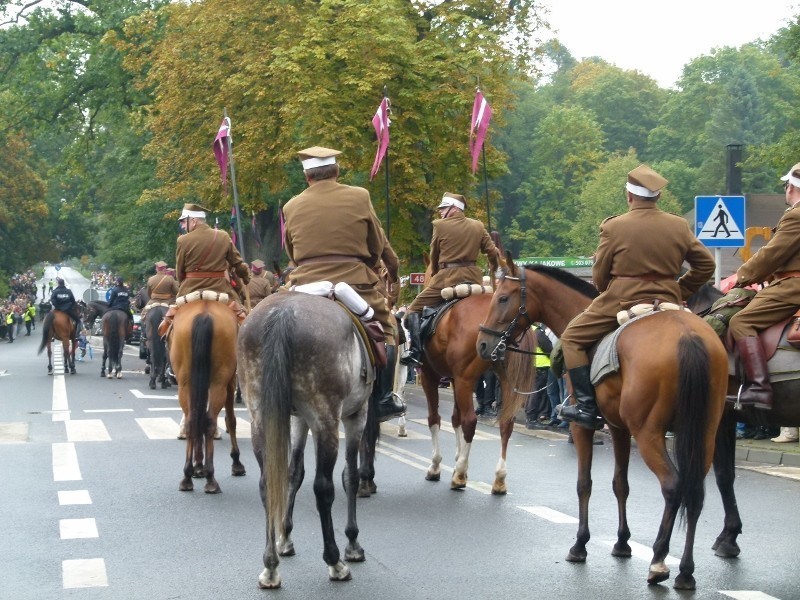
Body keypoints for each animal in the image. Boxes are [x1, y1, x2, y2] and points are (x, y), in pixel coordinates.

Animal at [169, 298, 244, 492]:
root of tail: (204, 313)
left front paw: (198, 467)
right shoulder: (231, 381)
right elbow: (231, 420)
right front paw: (236, 462)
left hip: (186, 383)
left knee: (193, 420)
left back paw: (187, 477)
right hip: (219, 381)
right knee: (209, 420)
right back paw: (211, 478)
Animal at [238, 292, 376, 588]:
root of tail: (282, 313)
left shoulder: (297, 418)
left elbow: (293, 473)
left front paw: (285, 538)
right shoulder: (356, 415)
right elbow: (350, 476)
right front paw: (352, 543)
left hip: (261, 419)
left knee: (267, 484)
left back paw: (270, 566)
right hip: (326, 422)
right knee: (323, 488)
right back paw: (335, 562)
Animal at [476, 258, 732, 592]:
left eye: (502, 298)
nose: (482, 344)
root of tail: (687, 335)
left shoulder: (582, 426)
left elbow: (584, 483)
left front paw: (580, 545)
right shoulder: (619, 427)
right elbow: (620, 484)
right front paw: (622, 543)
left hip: (649, 434)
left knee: (673, 486)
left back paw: (659, 561)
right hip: (703, 433)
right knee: (695, 491)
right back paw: (686, 572)